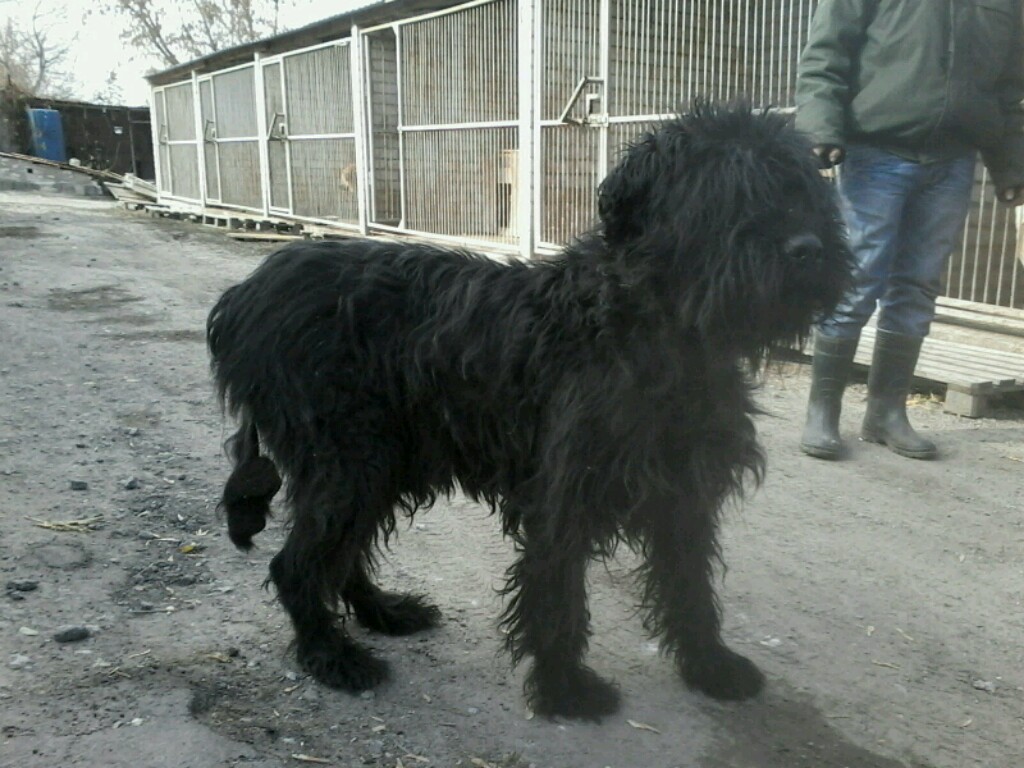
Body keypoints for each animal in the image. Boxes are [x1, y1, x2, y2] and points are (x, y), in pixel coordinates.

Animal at [206, 102, 852, 720]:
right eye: (726, 192)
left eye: (805, 191)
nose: (808, 250)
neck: (650, 330)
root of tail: (242, 296)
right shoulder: (565, 492)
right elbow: (556, 594)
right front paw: (566, 689)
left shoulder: (683, 494)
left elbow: (689, 586)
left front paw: (709, 665)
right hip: (351, 461)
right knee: (298, 564)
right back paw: (330, 655)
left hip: (379, 463)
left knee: (339, 555)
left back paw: (384, 613)